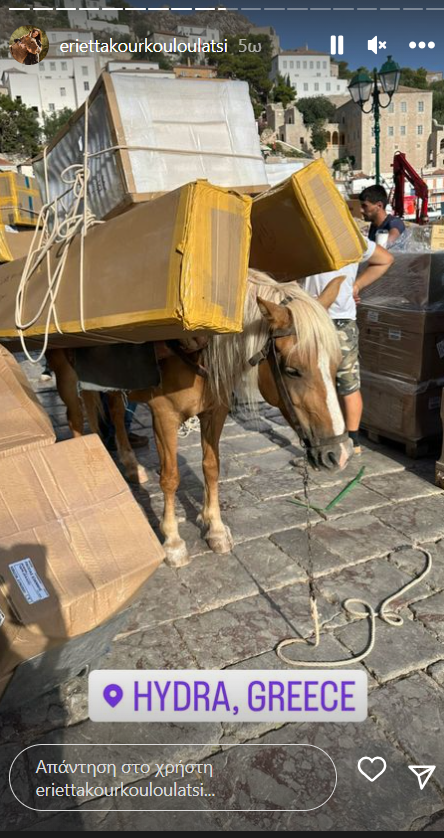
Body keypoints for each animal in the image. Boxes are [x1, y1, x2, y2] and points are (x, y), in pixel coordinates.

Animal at [46, 272, 352, 568]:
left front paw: (214, 528)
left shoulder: (215, 412)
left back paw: (129, 465)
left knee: (113, 412)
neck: (197, 350)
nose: (338, 454)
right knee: (75, 418)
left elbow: (211, 468)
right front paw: (172, 542)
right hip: (65, 374)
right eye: (292, 370)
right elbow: (170, 477)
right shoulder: (164, 417)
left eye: (336, 363)